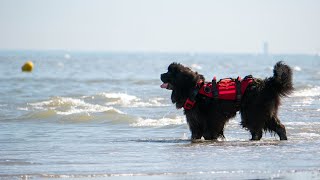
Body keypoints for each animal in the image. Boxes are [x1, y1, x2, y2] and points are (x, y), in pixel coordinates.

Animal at [161, 61, 294, 141]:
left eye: (170, 72)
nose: (161, 74)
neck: (195, 90)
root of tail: (268, 84)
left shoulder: (213, 118)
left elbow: (209, 132)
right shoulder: (195, 120)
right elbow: (196, 134)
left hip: (252, 112)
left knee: (257, 130)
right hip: (265, 112)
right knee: (279, 127)